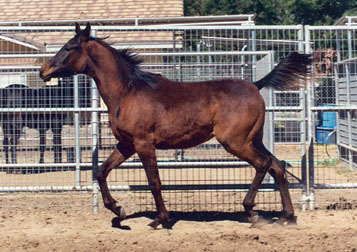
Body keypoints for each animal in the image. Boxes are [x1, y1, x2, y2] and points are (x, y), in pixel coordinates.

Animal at [40, 23, 310, 228]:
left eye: (69, 47)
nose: (43, 70)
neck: (128, 92)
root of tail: (255, 84)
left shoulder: (144, 144)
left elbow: (154, 182)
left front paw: (159, 219)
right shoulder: (126, 145)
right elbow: (101, 171)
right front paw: (118, 210)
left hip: (235, 142)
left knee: (263, 164)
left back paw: (252, 211)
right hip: (253, 140)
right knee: (277, 166)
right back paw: (287, 217)